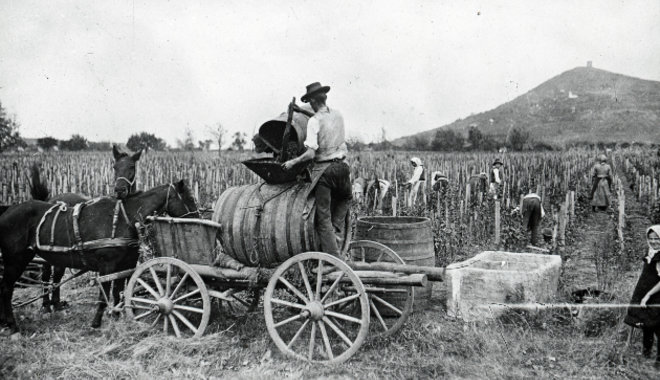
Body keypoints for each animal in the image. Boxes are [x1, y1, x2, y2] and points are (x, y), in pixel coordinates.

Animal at [0, 179, 199, 336]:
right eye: (190, 199)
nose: (197, 219)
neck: (123, 219)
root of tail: (7, 211)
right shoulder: (107, 266)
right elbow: (104, 296)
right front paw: (96, 322)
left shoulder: (124, 265)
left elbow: (118, 292)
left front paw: (117, 316)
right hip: (15, 260)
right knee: (8, 288)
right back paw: (13, 324)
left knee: (50, 279)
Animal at [30, 145, 143, 312]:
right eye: (115, 167)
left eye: (131, 167)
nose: (119, 190)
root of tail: (51, 200)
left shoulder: (131, 259)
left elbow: (125, 283)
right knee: (46, 275)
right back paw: (46, 305)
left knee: (57, 275)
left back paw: (56, 304)